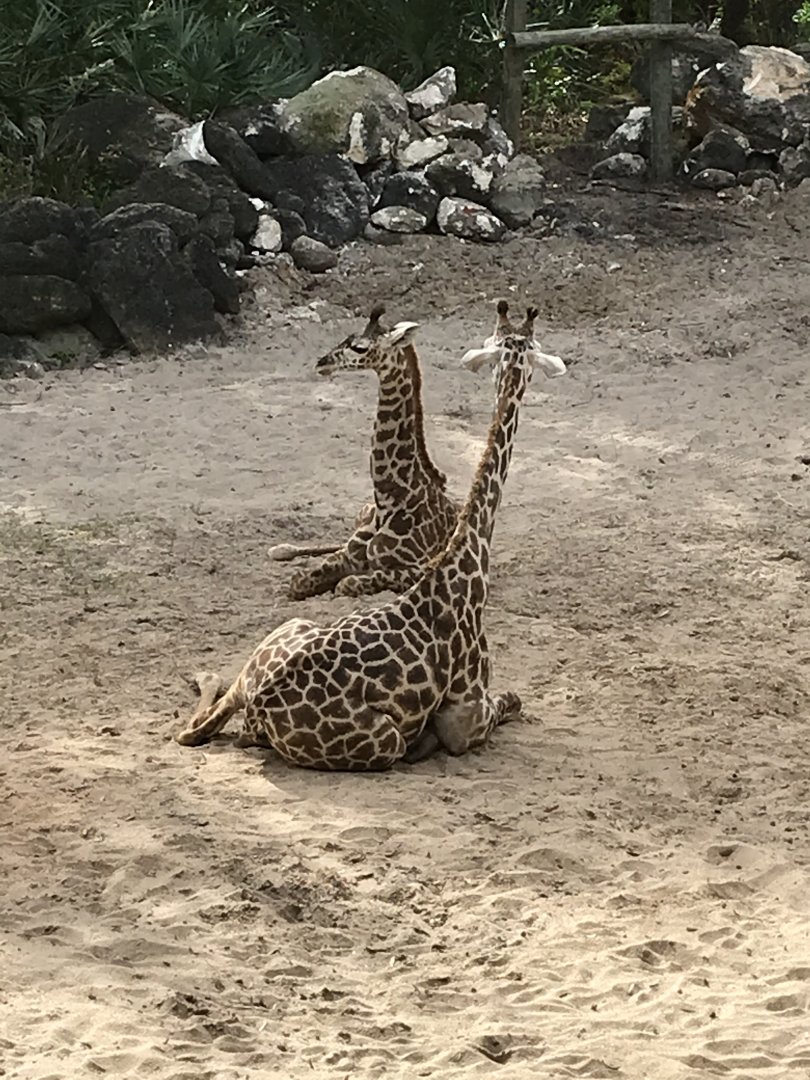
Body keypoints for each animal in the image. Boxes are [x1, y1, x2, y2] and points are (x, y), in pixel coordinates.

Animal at [268, 304, 460, 601]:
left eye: (359, 347)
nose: (321, 363)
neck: (389, 500)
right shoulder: (348, 555)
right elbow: (300, 581)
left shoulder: (419, 567)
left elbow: (348, 583)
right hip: (359, 514)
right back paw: (281, 549)